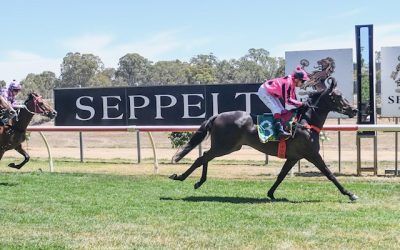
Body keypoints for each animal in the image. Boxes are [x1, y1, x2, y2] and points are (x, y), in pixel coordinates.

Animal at [170, 79, 360, 202]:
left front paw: (271, 193)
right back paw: (180, 177)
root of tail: (217, 115)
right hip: (225, 146)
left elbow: (281, 175)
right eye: (337, 96)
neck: (306, 121)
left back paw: (198, 182)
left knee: (205, 157)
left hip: (227, 146)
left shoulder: (294, 157)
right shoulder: (312, 154)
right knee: (202, 157)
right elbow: (329, 174)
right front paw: (350, 194)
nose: (354, 110)